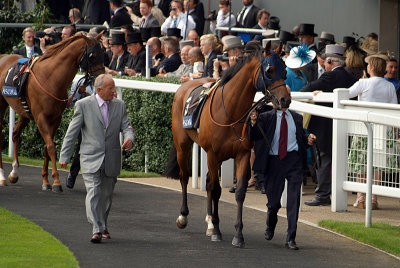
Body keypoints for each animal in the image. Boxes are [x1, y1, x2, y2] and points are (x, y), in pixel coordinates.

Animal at [0, 33, 104, 192]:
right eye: (93, 56)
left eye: (104, 53)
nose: (102, 77)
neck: (50, 78)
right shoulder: (40, 117)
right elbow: (51, 147)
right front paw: (56, 182)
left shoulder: (56, 118)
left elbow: (46, 148)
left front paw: (45, 181)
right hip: (1, 105)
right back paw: (2, 176)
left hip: (23, 112)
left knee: (15, 133)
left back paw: (14, 173)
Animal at [169, 43, 290, 248]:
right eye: (270, 70)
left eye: (286, 70)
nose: (285, 100)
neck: (231, 112)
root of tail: (184, 85)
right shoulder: (213, 154)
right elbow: (217, 190)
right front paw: (217, 230)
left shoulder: (242, 154)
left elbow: (239, 192)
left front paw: (238, 235)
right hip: (183, 145)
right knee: (185, 177)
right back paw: (183, 217)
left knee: (208, 182)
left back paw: (209, 221)